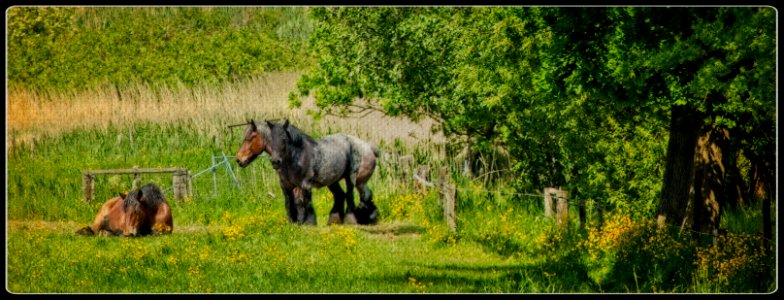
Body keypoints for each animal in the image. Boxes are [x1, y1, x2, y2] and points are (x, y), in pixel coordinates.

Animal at [233, 119, 380, 225]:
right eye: (272, 141)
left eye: (251, 137)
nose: (239, 159)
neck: (296, 156)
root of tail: (368, 147)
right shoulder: (286, 186)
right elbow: (289, 203)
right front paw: (293, 222)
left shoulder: (304, 185)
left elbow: (304, 203)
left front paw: (308, 222)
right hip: (334, 182)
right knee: (347, 196)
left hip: (351, 178)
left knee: (352, 196)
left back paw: (352, 220)